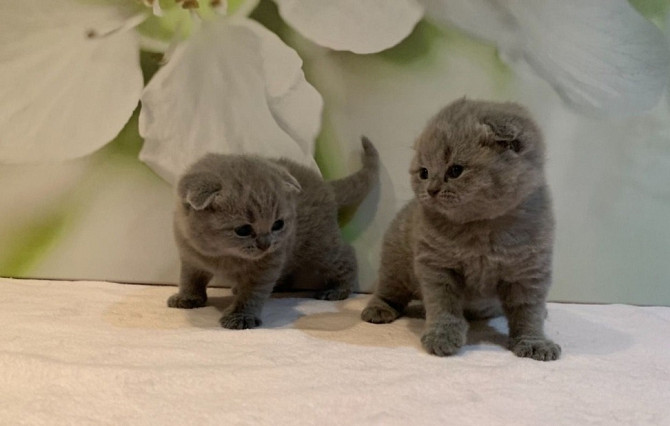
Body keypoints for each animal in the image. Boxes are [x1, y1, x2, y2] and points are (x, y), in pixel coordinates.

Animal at [169, 137, 378, 330]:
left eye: (278, 224)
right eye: (243, 230)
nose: (265, 244)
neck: (221, 255)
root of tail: (326, 186)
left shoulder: (266, 266)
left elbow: (252, 293)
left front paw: (241, 316)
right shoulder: (190, 256)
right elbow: (189, 278)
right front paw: (187, 297)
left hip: (321, 246)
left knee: (345, 255)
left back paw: (338, 289)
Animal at [362, 99, 560, 360]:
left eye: (455, 170)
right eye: (424, 172)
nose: (431, 190)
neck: (482, 228)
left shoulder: (529, 272)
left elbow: (528, 311)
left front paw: (534, 341)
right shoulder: (437, 266)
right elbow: (443, 305)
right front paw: (441, 336)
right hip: (396, 263)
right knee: (388, 289)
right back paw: (378, 309)